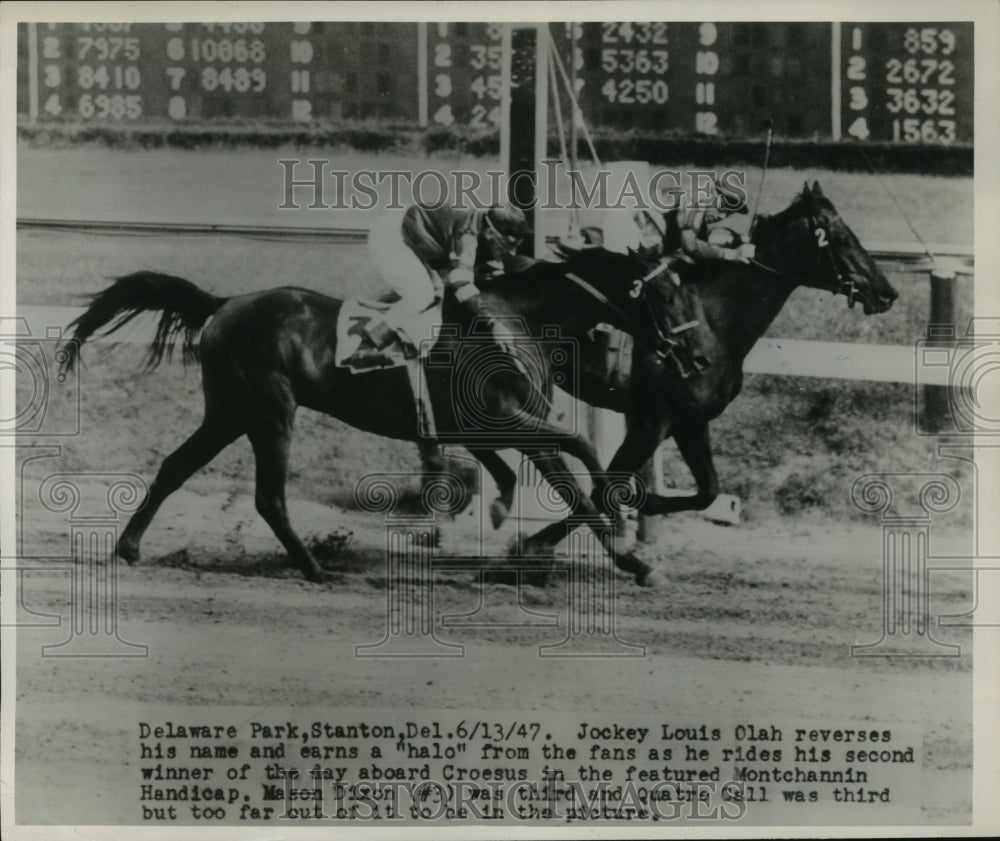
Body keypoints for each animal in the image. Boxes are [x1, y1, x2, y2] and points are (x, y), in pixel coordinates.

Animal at [60, 244, 672, 584]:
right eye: (661, 294)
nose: (677, 348)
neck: (510, 322)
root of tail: (226, 303)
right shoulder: (510, 421)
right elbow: (582, 457)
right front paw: (629, 554)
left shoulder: (490, 427)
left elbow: (543, 471)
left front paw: (509, 523)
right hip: (270, 410)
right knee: (268, 496)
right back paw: (314, 568)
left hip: (229, 412)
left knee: (175, 467)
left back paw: (129, 547)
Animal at [458, 183, 896, 524]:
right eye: (841, 238)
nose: (888, 292)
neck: (712, 322)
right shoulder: (650, 422)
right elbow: (604, 492)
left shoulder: (691, 422)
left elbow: (707, 491)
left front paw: (645, 503)